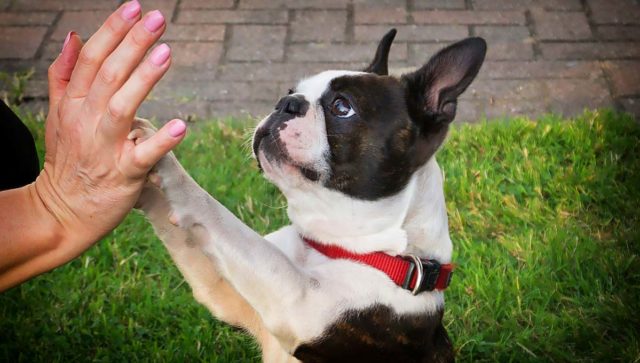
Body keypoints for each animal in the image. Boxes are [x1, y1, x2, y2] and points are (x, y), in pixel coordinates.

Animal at [134, 29, 484, 363]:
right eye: (291, 90)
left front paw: (169, 173)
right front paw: (142, 159)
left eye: (342, 107)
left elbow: (222, 218)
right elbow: (186, 237)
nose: (286, 102)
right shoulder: (224, 293)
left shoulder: (298, 303)